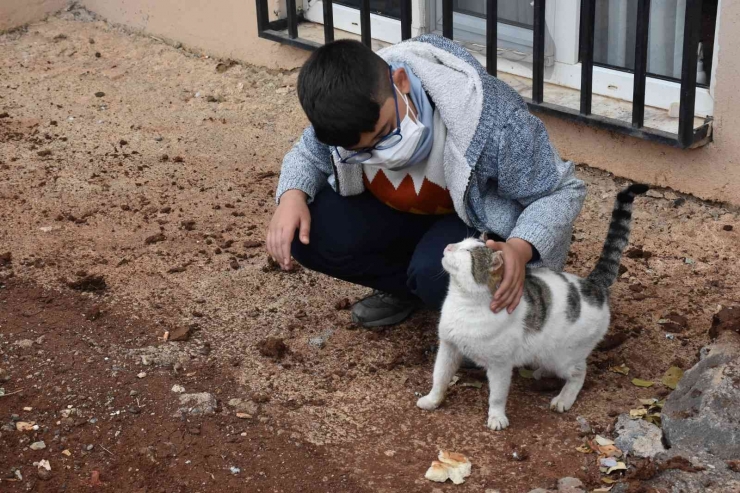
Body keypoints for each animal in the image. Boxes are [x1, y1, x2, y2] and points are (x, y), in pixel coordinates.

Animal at [416, 183, 648, 428]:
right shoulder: (449, 347)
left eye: (468, 253)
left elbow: (497, 396)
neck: (464, 303)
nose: (448, 246)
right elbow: (439, 378)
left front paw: (497, 417)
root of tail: (592, 284)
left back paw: (563, 398)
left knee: (579, 373)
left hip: (564, 357)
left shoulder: (500, 364)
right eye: (461, 242)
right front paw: (432, 400)